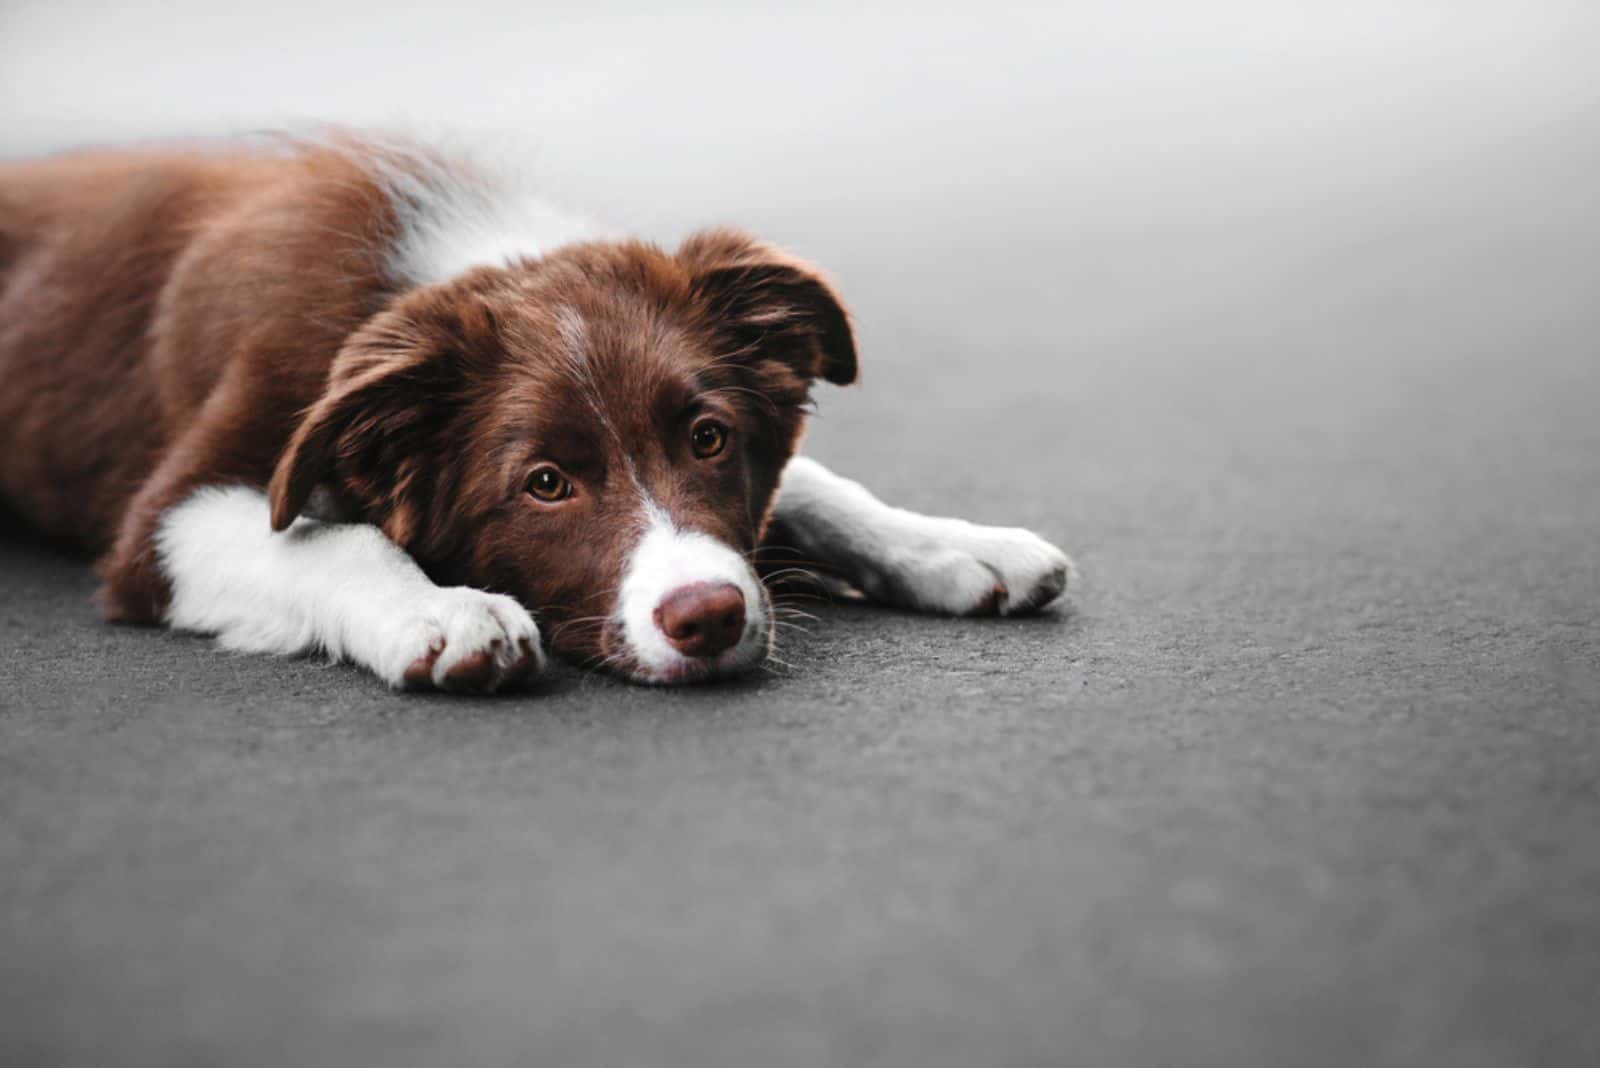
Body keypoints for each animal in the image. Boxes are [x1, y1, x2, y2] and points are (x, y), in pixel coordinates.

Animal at [3, 135, 1075, 693]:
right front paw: (443, 609)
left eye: (709, 439)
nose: (710, 616)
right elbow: (329, 538)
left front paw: (955, 543)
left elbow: (812, 483)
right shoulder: (163, 519)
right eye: (545, 485)